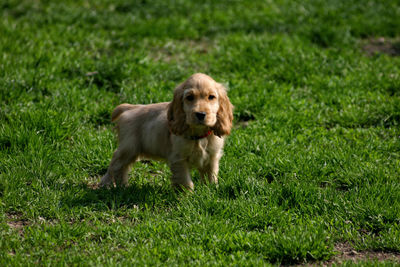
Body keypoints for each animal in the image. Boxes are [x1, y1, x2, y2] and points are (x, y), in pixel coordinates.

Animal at [99, 73, 234, 191]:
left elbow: (211, 176)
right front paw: (186, 196)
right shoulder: (179, 159)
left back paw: (122, 186)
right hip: (128, 148)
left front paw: (211, 190)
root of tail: (130, 108)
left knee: (121, 167)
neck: (199, 134)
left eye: (211, 97)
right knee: (115, 164)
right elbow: (185, 180)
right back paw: (106, 185)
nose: (200, 114)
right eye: (189, 97)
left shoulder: (212, 157)